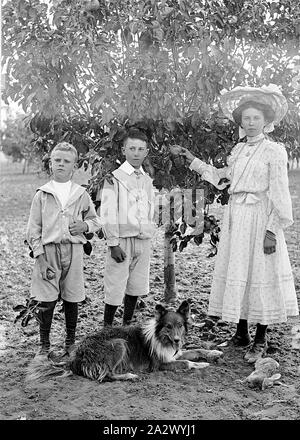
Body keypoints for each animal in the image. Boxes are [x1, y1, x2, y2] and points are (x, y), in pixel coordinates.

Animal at [26, 302, 223, 382]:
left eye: (180, 325)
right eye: (168, 326)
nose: (176, 340)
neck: (162, 339)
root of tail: (76, 356)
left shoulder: (174, 354)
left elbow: (197, 350)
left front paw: (214, 353)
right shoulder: (160, 364)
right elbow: (187, 362)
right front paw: (202, 365)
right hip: (120, 343)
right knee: (105, 376)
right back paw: (130, 376)